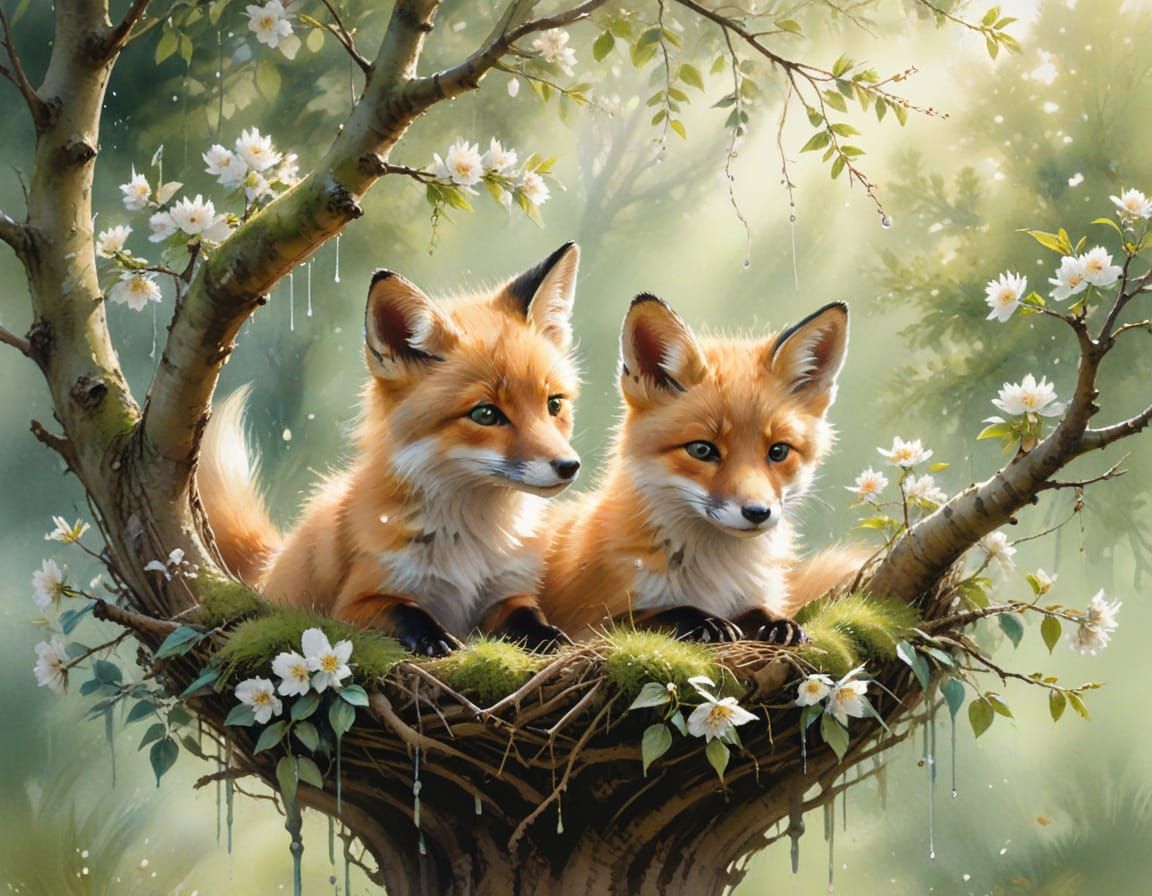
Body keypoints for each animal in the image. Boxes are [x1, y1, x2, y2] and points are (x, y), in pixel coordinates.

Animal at [198, 242, 584, 656]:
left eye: (554, 405)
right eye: (486, 414)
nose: (568, 466)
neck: (473, 543)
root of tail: (268, 565)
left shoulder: (507, 592)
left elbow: (529, 618)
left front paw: (552, 638)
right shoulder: (355, 602)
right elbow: (405, 612)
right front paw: (435, 638)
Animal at [539, 294, 864, 643]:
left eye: (778, 451)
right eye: (702, 449)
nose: (757, 512)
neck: (717, 573)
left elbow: (758, 610)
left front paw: (779, 624)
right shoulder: (587, 625)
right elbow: (655, 614)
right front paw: (704, 621)